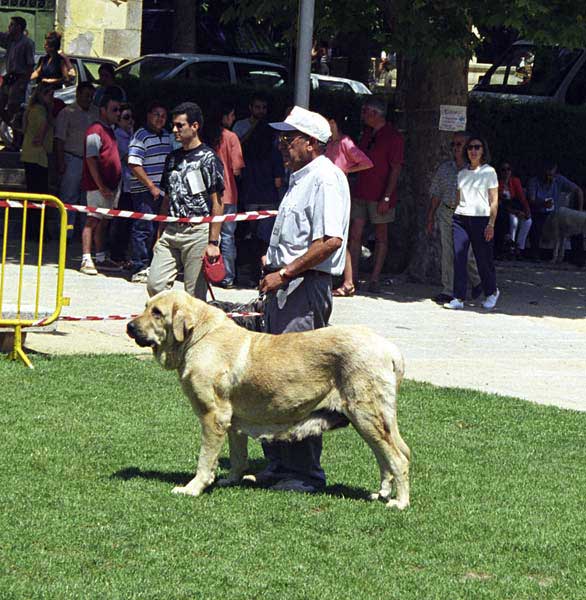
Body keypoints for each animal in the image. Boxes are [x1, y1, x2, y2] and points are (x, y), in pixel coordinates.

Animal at [128, 290, 410, 510]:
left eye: (157, 312)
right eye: (146, 306)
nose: (130, 326)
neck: (197, 337)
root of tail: (391, 349)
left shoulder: (212, 417)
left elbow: (205, 459)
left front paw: (193, 488)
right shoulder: (232, 422)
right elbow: (238, 456)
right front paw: (231, 479)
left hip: (367, 416)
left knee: (399, 458)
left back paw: (400, 502)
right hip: (371, 421)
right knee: (387, 457)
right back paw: (382, 493)